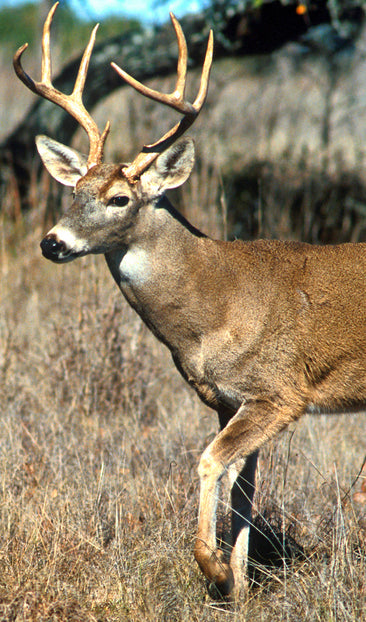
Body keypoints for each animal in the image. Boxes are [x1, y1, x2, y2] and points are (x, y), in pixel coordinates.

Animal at [14, 2, 366, 604]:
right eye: (73, 192)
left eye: (119, 198)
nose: (51, 243)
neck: (214, 309)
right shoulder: (228, 399)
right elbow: (243, 490)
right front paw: (239, 587)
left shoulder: (280, 391)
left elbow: (208, 462)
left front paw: (214, 568)